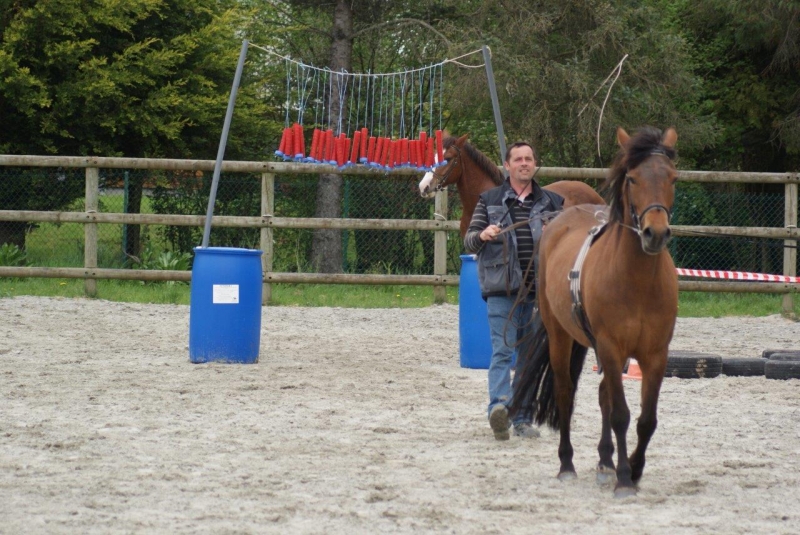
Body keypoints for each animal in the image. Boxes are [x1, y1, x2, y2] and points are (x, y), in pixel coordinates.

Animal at [512, 125, 676, 498]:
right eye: (632, 178)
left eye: (672, 177)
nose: (655, 233)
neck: (638, 281)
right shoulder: (611, 348)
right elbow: (621, 415)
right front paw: (625, 479)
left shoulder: (655, 355)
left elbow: (646, 419)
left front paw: (634, 468)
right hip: (561, 337)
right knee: (565, 393)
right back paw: (567, 464)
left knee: (603, 396)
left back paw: (604, 463)